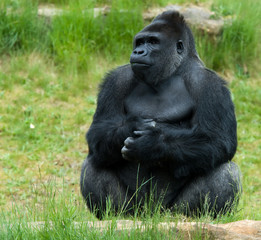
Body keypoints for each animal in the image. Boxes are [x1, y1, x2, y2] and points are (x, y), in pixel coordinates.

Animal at [80, 10, 241, 218]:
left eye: (153, 42)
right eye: (140, 42)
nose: (138, 52)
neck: (174, 70)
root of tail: (152, 215)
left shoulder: (210, 84)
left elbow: (218, 140)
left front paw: (152, 145)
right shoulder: (116, 80)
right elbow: (98, 132)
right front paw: (132, 126)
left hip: (172, 211)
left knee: (226, 169)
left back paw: (200, 217)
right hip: (134, 211)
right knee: (95, 162)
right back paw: (112, 215)